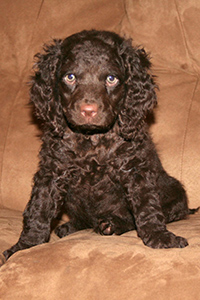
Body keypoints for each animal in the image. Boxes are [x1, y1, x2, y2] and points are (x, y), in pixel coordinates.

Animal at [1, 29, 194, 262]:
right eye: (70, 77)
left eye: (111, 79)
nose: (88, 111)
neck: (92, 139)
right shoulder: (53, 170)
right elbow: (39, 208)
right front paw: (26, 245)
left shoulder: (135, 168)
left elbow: (147, 206)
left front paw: (159, 236)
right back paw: (71, 226)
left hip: (175, 191)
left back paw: (111, 224)